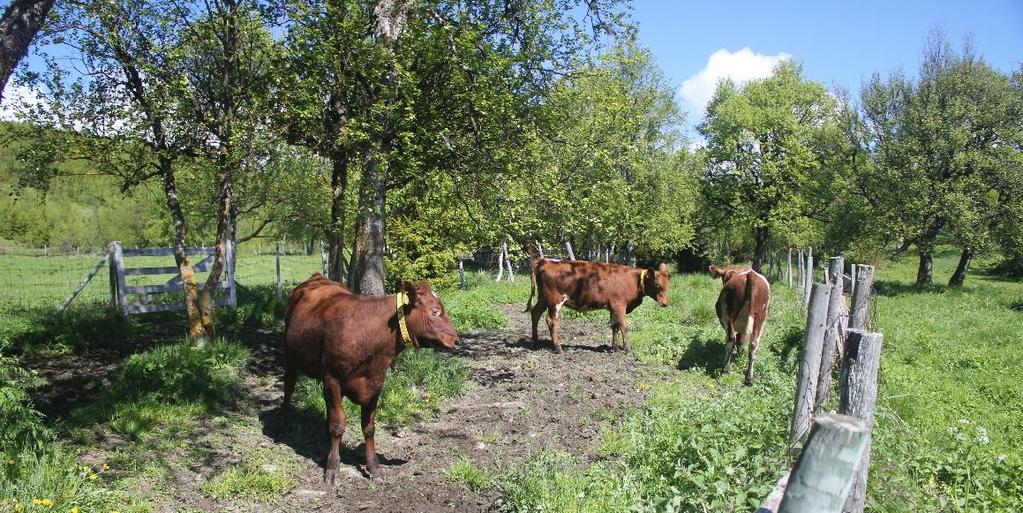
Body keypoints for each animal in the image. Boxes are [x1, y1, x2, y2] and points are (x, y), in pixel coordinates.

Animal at [280, 272, 456, 479]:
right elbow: (338, 425)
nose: (456, 339)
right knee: (289, 386)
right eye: (435, 311)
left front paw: (374, 466)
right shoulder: (333, 378)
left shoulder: (375, 384)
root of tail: (316, 278)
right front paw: (332, 467)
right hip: (289, 355)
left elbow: (369, 428)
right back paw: (282, 424)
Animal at [527, 255, 671, 352]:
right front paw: (627, 349)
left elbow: (615, 326)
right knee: (551, 320)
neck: (633, 280)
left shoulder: (612, 307)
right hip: (554, 300)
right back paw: (558, 348)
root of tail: (545, 261)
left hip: (544, 298)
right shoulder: (619, 305)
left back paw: (535, 342)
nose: (665, 304)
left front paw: (615, 348)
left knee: (535, 313)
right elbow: (624, 326)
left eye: (668, 285)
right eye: (657, 286)